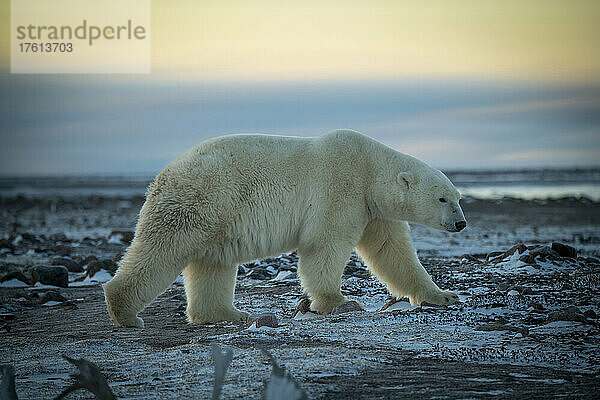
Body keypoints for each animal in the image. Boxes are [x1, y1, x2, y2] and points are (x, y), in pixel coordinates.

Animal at [104, 130, 468, 326]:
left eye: (457, 196)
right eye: (441, 198)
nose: (461, 222)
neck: (369, 168)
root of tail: (163, 174)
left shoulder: (375, 210)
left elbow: (393, 253)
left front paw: (443, 295)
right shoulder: (341, 187)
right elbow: (324, 244)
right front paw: (336, 300)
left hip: (216, 217)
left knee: (212, 263)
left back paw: (227, 314)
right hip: (201, 199)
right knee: (164, 249)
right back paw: (126, 312)